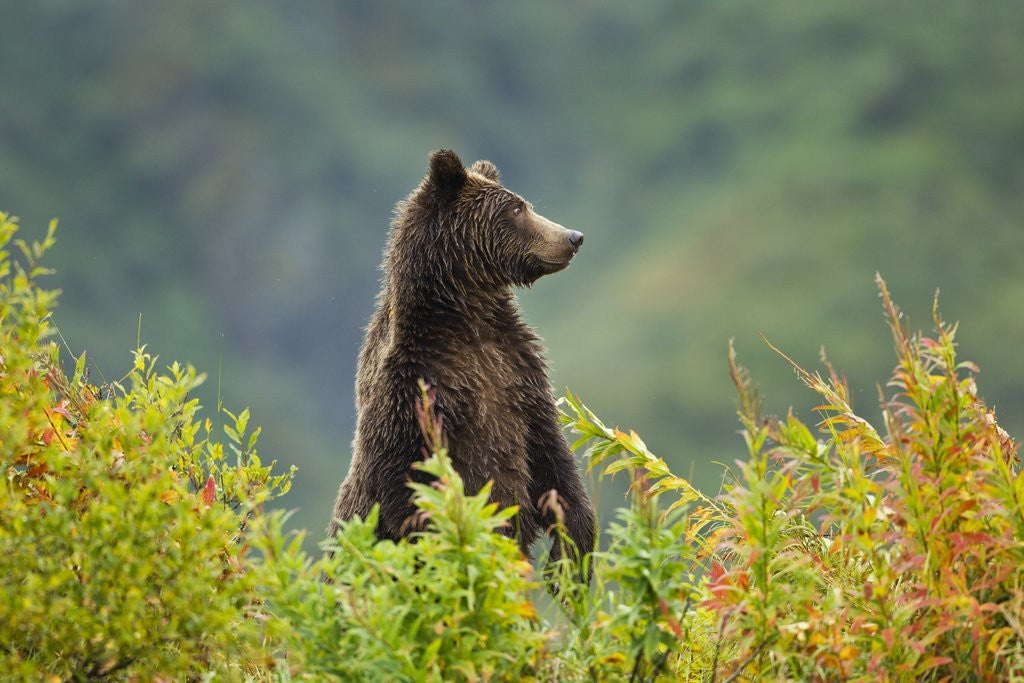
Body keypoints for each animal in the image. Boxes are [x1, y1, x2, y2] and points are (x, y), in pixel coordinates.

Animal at [328, 149, 596, 573]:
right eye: (516, 209)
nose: (573, 237)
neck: (466, 319)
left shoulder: (519, 374)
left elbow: (551, 457)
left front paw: (571, 553)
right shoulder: (416, 390)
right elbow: (407, 482)